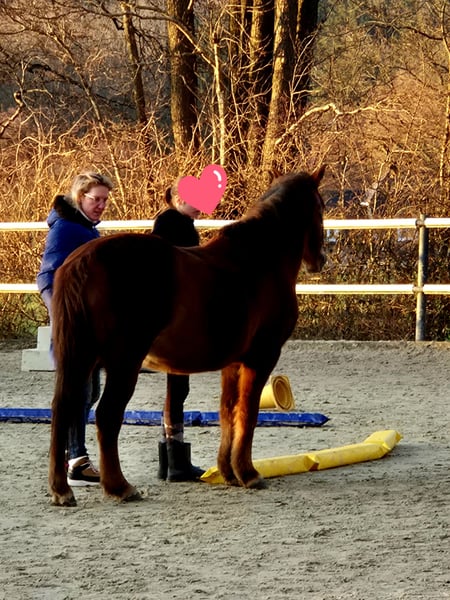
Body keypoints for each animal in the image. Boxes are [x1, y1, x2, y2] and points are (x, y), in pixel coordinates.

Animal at [48, 166, 326, 506]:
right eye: (320, 207)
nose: (320, 259)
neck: (259, 261)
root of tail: (82, 261)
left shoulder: (233, 362)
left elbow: (228, 410)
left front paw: (228, 472)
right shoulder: (261, 356)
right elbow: (248, 411)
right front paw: (248, 474)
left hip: (80, 356)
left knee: (63, 410)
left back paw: (61, 489)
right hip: (123, 361)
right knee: (106, 414)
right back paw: (119, 486)